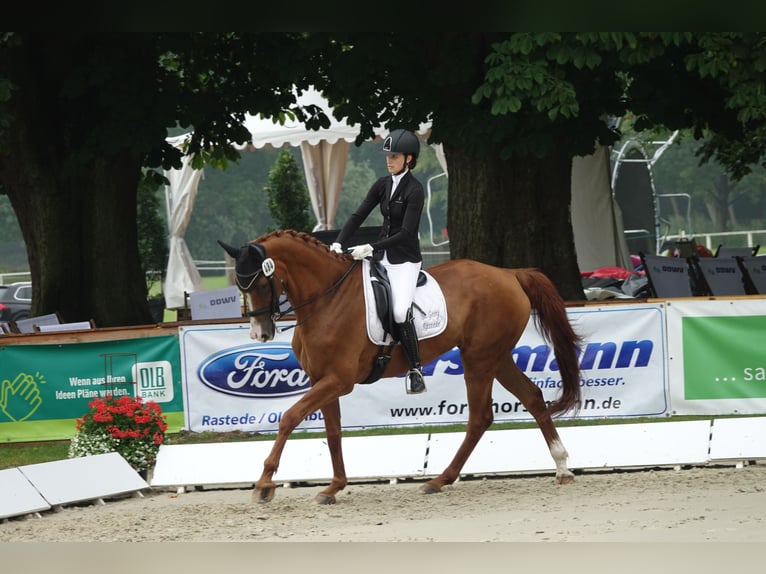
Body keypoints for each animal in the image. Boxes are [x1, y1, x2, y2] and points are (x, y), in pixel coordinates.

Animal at [219, 232, 584, 506]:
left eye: (260, 284)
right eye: (239, 286)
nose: (260, 334)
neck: (328, 299)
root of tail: (509, 273)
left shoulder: (339, 380)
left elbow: (290, 417)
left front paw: (264, 483)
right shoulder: (323, 380)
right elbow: (333, 432)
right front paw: (334, 486)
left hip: (479, 359)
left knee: (480, 417)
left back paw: (439, 480)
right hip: (497, 356)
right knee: (532, 397)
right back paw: (562, 467)